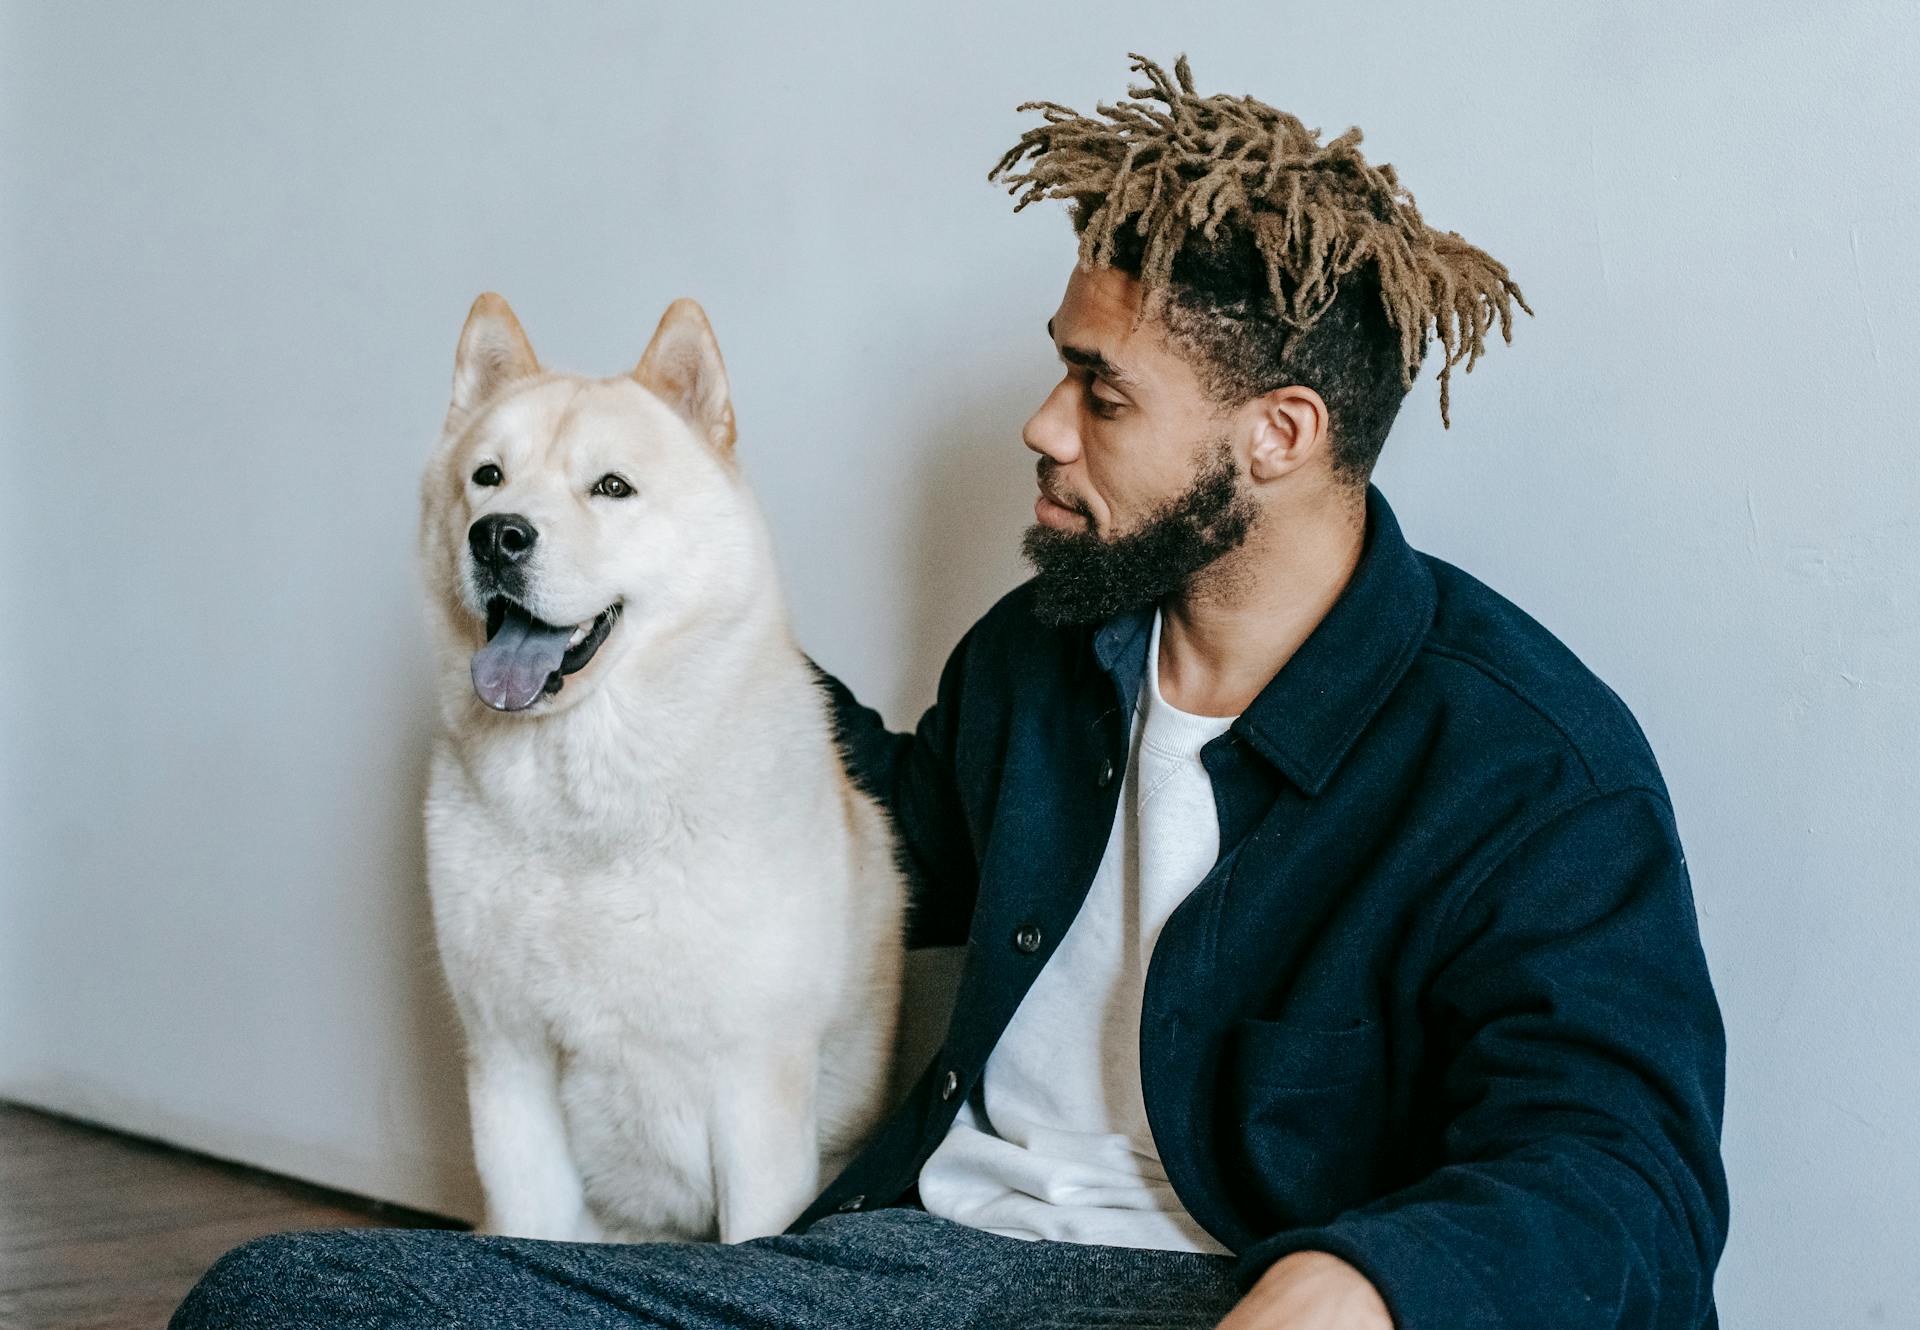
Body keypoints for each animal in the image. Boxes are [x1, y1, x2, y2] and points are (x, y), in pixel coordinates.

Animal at [414, 293, 906, 1243]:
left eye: (611, 488)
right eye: (487, 476)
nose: (497, 537)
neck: (586, 812)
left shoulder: (756, 1090)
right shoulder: (507, 1069)